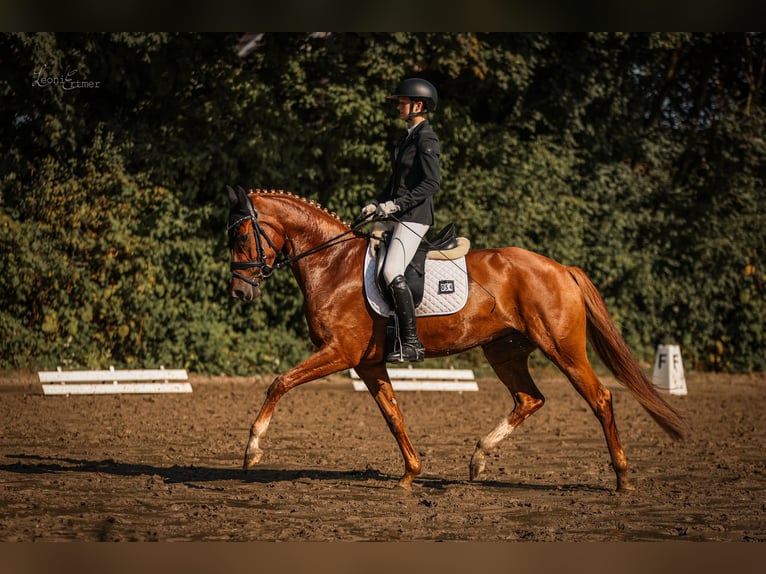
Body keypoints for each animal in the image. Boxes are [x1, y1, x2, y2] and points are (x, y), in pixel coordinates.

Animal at [226, 187, 688, 492]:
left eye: (242, 236)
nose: (240, 292)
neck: (332, 264)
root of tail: (561, 268)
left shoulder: (339, 352)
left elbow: (280, 382)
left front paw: (252, 449)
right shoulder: (367, 362)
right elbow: (393, 415)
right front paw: (411, 473)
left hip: (563, 348)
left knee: (600, 399)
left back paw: (622, 477)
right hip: (504, 351)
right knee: (529, 399)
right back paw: (479, 458)